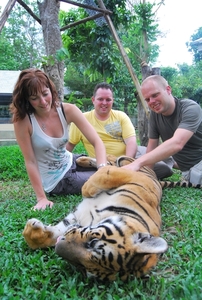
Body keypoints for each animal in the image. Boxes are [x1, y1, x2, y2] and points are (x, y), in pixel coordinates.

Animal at [22, 155, 169, 282]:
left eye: (84, 268)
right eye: (93, 242)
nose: (58, 249)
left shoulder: (76, 220)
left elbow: (53, 234)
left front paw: (33, 228)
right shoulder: (137, 177)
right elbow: (101, 179)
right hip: (126, 161)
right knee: (110, 161)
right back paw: (82, 160)